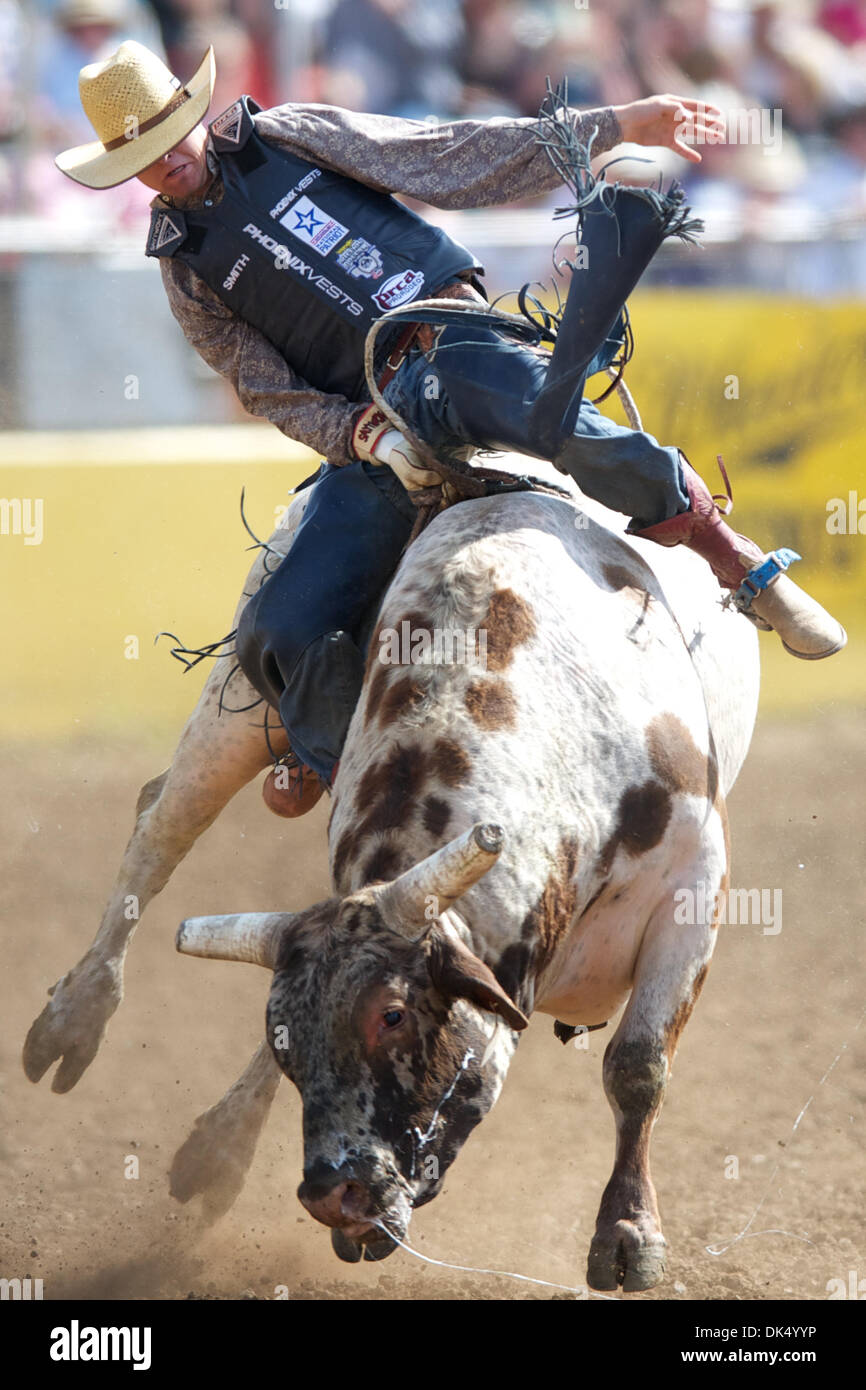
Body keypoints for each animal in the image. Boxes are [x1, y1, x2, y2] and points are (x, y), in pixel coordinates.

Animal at [23, 455, 756, 1289]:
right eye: (285, 1039)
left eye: (394, 1016)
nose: (330, 1194)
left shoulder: (696, 883)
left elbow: (637, 1065)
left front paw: (629, 1233)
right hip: (236, 695)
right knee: (160, 829)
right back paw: (79, 1019)